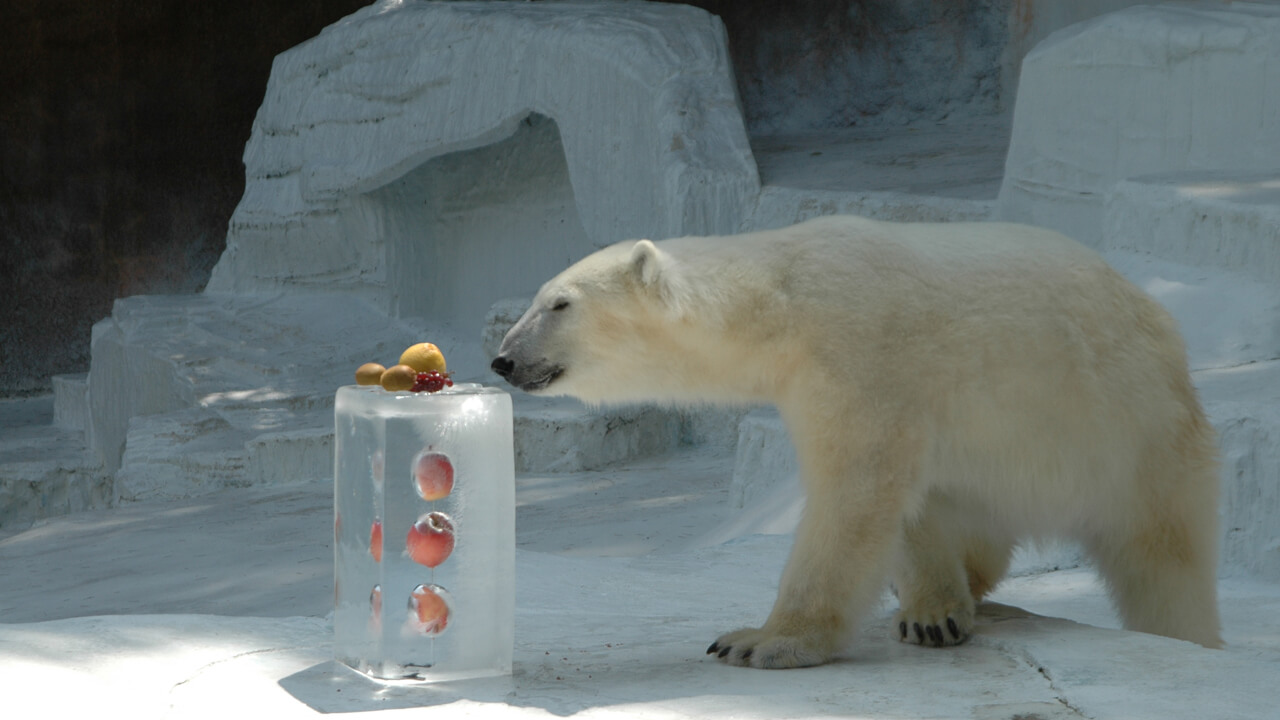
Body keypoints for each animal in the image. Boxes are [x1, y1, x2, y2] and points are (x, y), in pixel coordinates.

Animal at [488, 213, 1218, 666]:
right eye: (540, 298)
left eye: (559, 304)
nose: (503, 360)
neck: (784, 300)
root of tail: (1160, 321)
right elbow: (906, 497)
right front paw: (931, 612)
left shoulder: (861, 352)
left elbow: (855, 492)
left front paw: (761, 641)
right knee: (967, 510)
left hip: (1132, 428)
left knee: (1164, 560)